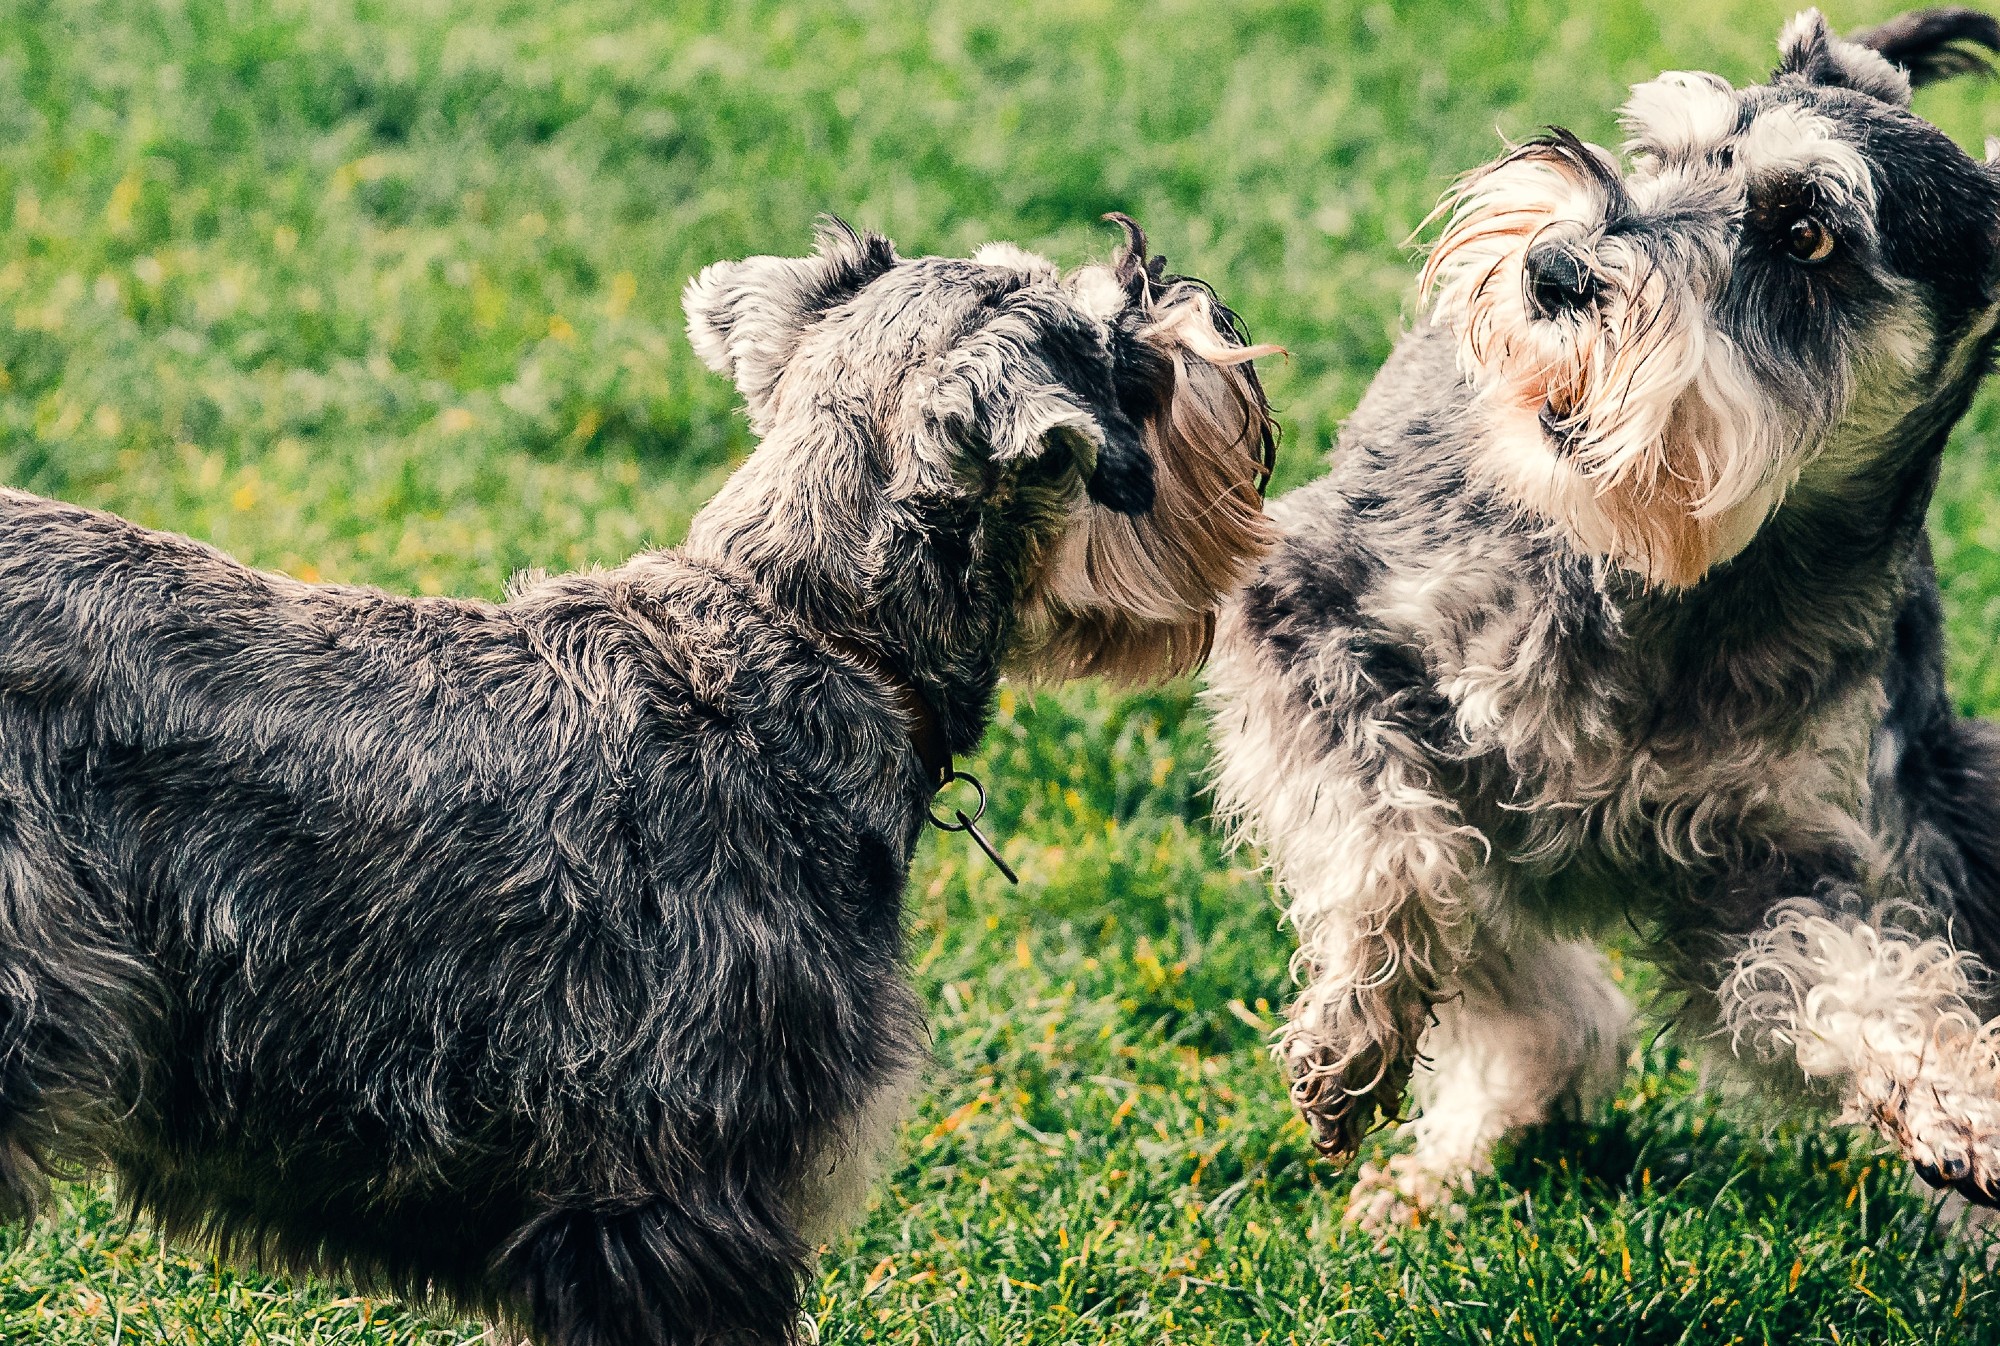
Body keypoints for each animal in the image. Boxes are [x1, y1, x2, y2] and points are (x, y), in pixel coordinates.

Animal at [1208, 7, 2000, 1232]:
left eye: (1807, 234)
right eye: (1663, 153)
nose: (1553, 267)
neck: (1676, 579)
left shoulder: (1760, 867)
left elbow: (1856, 973)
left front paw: (1957, 1093)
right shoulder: (1304, 621)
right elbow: (1390, 847)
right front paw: (1353, 1033)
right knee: (1522, 984)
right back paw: (1438, 1160)